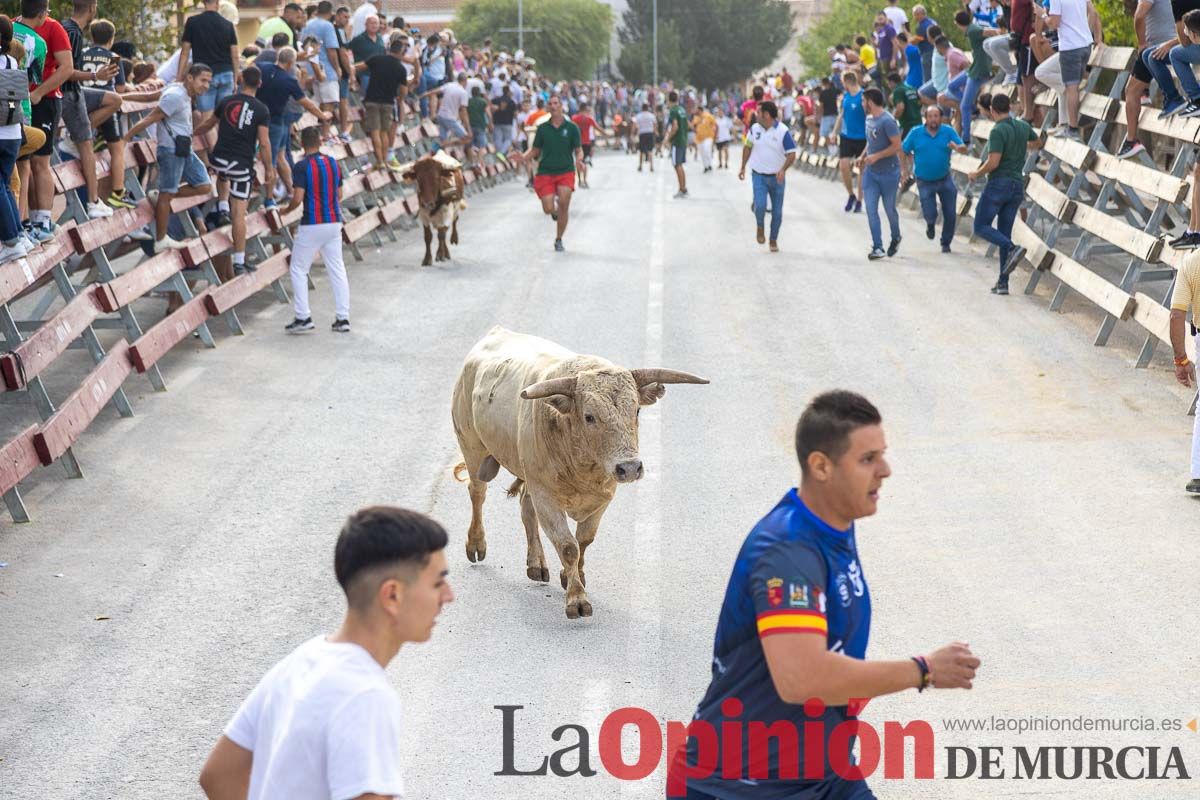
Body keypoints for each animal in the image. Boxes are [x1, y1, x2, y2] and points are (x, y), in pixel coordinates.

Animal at [453, 326, 705, 618]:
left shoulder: (603, 497)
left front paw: (572, 577)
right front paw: (577, 599)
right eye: (589, 416)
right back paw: (476, 544)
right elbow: (568, 546)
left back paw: (536, 564)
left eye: (637, 410)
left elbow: (584, 540)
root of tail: (497, 332)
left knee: (526, 508)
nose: (630, 467)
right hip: (473, 448)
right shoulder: (547, 497)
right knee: (477, 492)